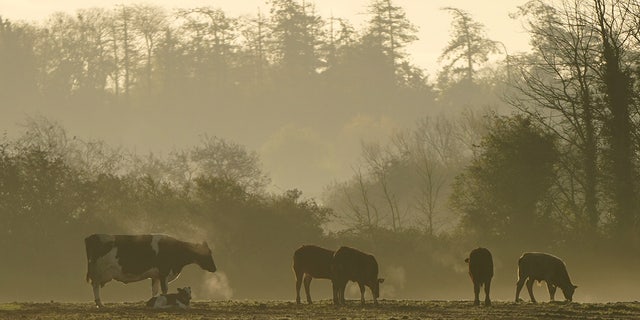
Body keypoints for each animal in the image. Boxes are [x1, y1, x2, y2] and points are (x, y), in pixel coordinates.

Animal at [84, 234, 218, 308]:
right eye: (207, 253)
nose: (214, 268)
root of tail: (92, 236)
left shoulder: (156, 276)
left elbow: (155, 290)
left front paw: (154, 300)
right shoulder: (164, 273)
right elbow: (165, 290)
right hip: (98, 272)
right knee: (95, 286)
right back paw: (100, 304)